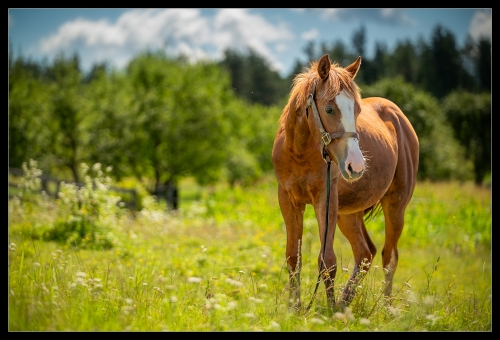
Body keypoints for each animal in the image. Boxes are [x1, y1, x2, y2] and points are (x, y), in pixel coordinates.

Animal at [272, 53, 420, 310]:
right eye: (329, 109)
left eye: (358, 110)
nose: (356, 166)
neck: (300, 152)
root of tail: (400, 118)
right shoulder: (289, 200)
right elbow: (293, 256)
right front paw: (296, 308)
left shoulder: (326, 200)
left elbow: (327, 259)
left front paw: (327, 311)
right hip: (349, 214)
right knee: (365, 253)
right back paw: (344, 302)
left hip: (395, 206)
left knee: (389, 257)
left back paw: (386, 308)